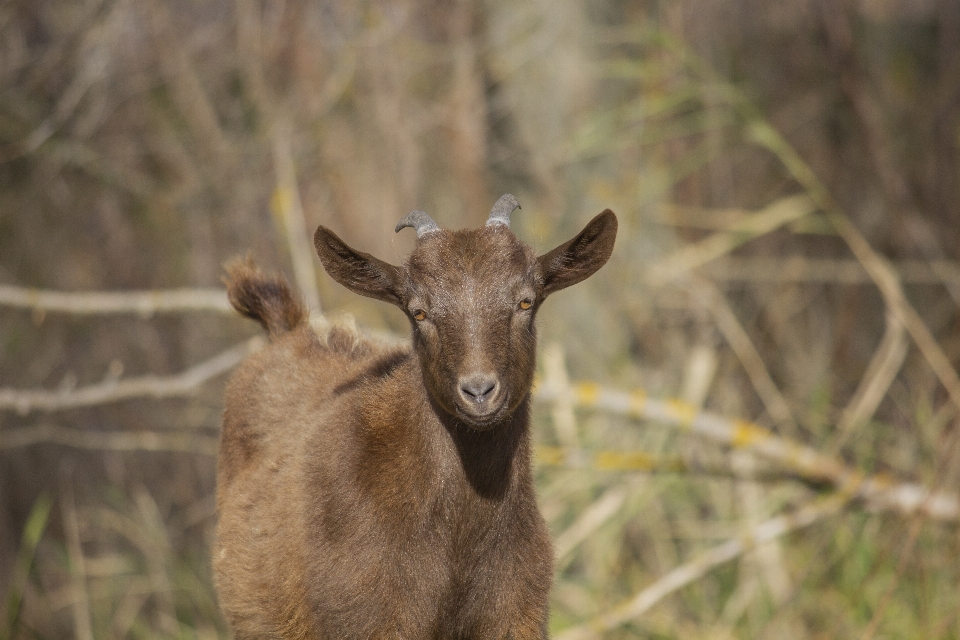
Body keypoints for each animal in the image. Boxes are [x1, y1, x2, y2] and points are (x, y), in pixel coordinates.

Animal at [214, 196, 620, 640]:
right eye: (419, 312)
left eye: (526, 301)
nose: (479, 391)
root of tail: (284, 330)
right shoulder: (368, 619)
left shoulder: (517, 616)